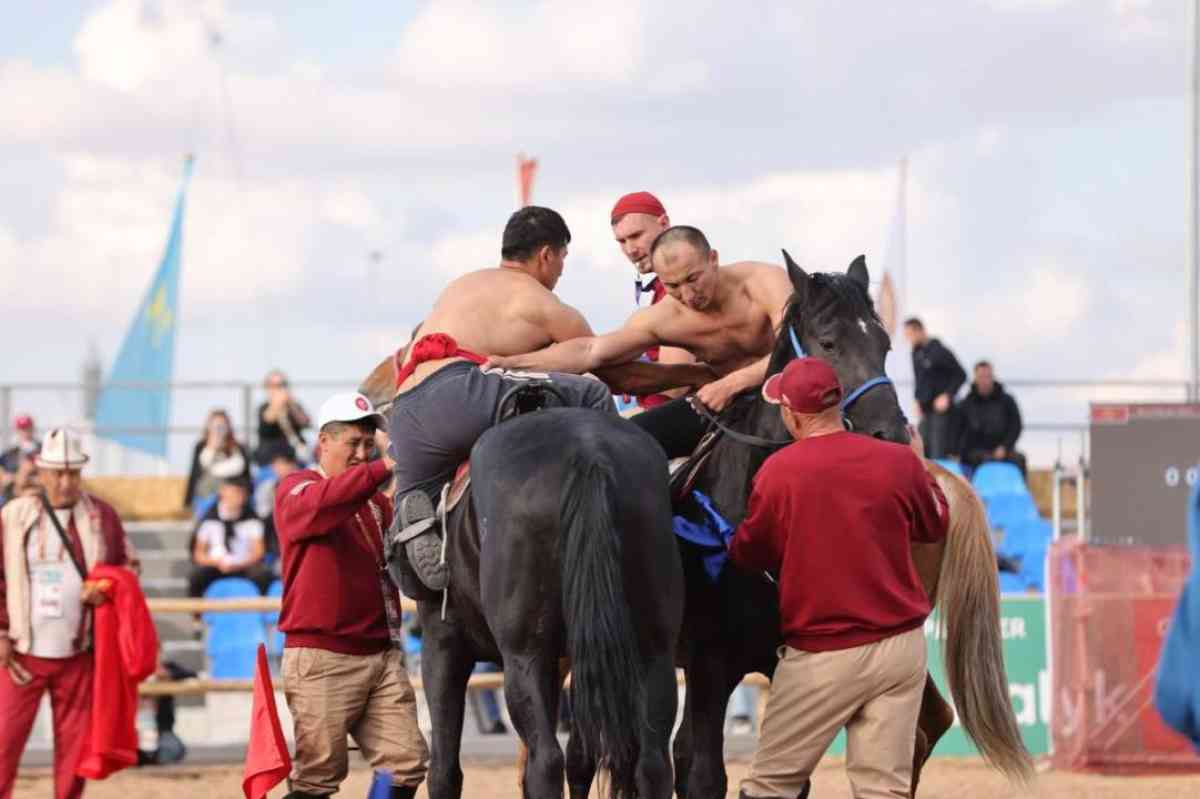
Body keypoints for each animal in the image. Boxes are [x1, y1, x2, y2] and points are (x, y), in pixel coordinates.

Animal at [410, 407, 681, 791]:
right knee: (651, 762)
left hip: (525, 656)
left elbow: (444, 769)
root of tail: (588, 453)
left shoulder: (442, 643)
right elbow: (582, 756)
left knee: (545, 761)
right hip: (651, 651)